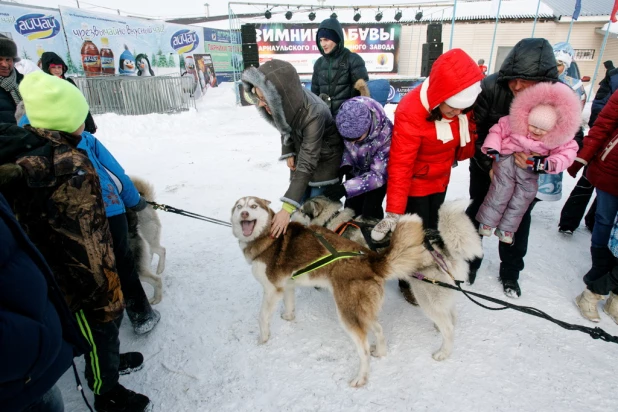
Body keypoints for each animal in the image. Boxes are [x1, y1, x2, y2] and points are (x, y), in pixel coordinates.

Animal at [230, 196, 482, 386]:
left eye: (300, 210)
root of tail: (440, 242)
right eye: (240, 207)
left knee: (447, 325)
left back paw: (442, 351)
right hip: (436, 292)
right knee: (450, 314)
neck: (335, 221)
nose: (288, 217)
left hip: (423, 293)